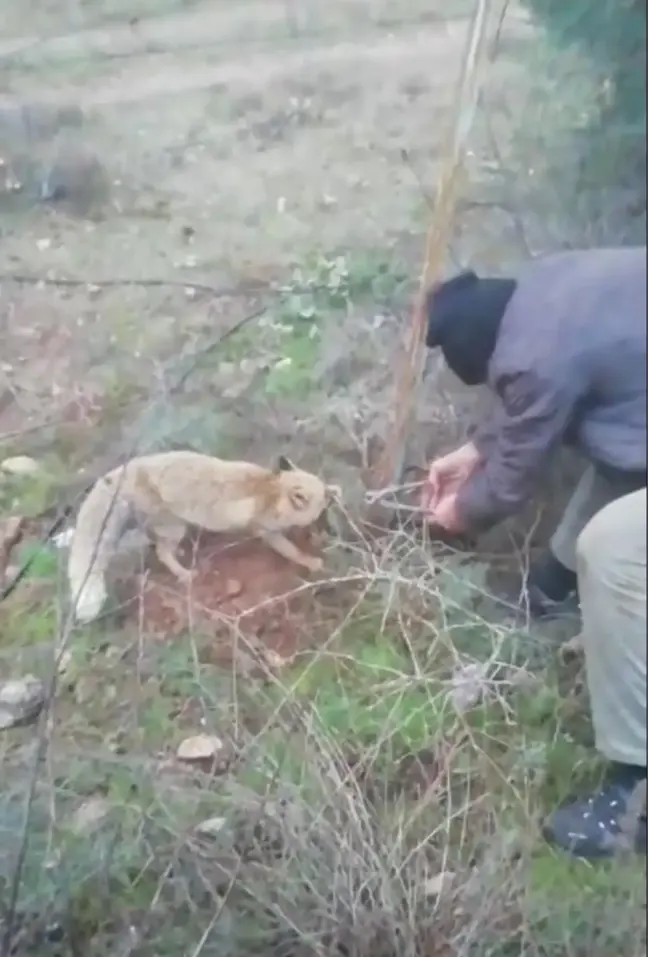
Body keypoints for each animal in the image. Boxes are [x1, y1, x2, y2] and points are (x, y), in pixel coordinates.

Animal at [66, 452, 342, 624]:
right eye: (324, 507)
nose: (333, 496)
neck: (271, 492)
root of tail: (125, 470)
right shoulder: (265, 531)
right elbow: (291, 550)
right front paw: (311, 561)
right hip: (175, 527)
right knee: (161, 551)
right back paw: (184, 573)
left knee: (155, 542)